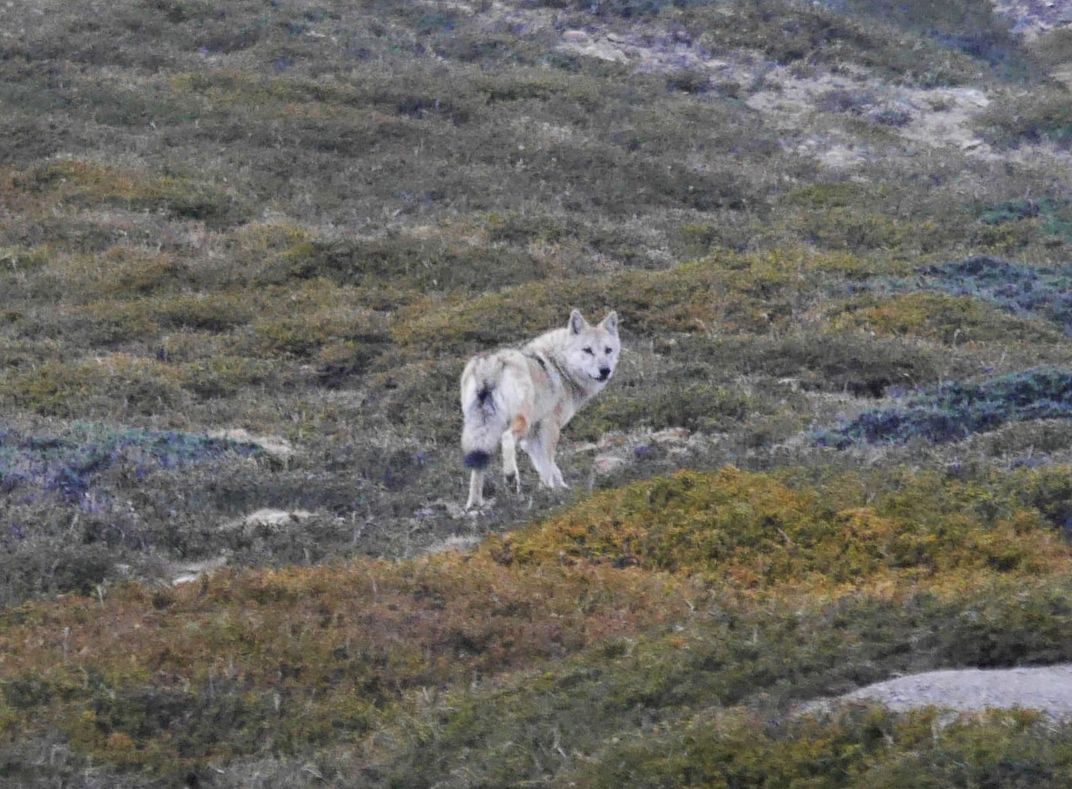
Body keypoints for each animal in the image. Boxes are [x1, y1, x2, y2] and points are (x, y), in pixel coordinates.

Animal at [458, 308, 621, 512]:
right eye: (588, 350)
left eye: (608, 350)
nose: (605, 370)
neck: (561, 368)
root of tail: (491, 363)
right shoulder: (550, 426)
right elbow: (548, 463)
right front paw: (548, 490)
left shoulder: (531, 438)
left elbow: (547, 465)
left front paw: (559, 488)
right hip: (521, 422)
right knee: (507, 438)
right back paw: (511, 479)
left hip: (482, 431)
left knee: (477, 466)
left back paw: (474, 505)